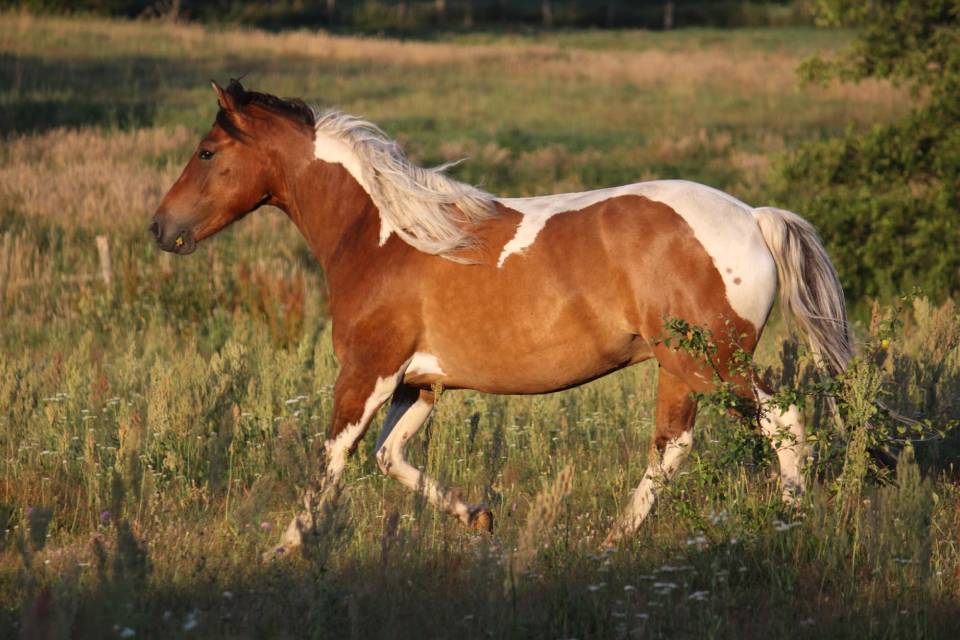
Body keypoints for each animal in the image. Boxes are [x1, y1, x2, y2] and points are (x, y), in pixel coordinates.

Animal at [151, 80, 852, 554]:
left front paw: (283, 549)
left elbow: (334, 459)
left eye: (207, 152)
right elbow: (388, 457)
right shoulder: (419, 385)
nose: (161, 229)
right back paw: (616, 543)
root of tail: (753, 218)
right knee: (675, 446)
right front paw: (480, 517)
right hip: (683, 368)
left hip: (713, 362)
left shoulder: (368, 372)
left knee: (773, 423)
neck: (380, 237)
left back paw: (780, 523)